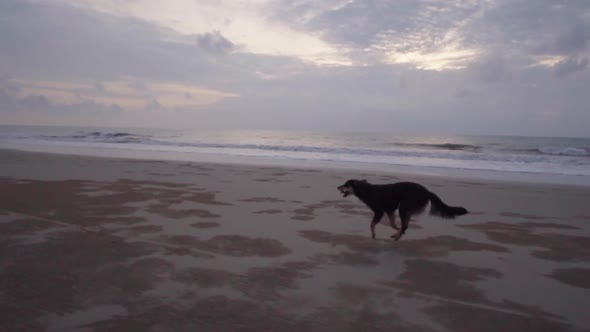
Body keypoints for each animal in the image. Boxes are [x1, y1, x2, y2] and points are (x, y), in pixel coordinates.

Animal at [340, 180, 470, 240]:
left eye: (346, 184)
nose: (337, 187)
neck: (366, 190)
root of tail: (426, 191)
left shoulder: (379, 211)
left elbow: (372, 224)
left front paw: (373, 235)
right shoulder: (390, 210)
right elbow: (393, 224)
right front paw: (397, 229)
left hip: (403, 207)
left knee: (405, 224)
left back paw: (397, 237)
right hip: (404, 208)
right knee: (406, 224)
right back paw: (398, 234)